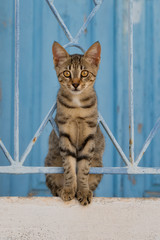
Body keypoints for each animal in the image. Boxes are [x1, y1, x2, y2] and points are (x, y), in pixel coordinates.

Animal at [45, 40, 105, 205]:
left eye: (84, 73)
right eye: (67, 73)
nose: (76, 84)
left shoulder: (89, 136)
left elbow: (83, 168)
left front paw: (83, 191)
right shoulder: (65, 135)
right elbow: (69, 166)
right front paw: (68, 189)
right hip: (50, 162)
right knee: (52, 185)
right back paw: (59, 189)